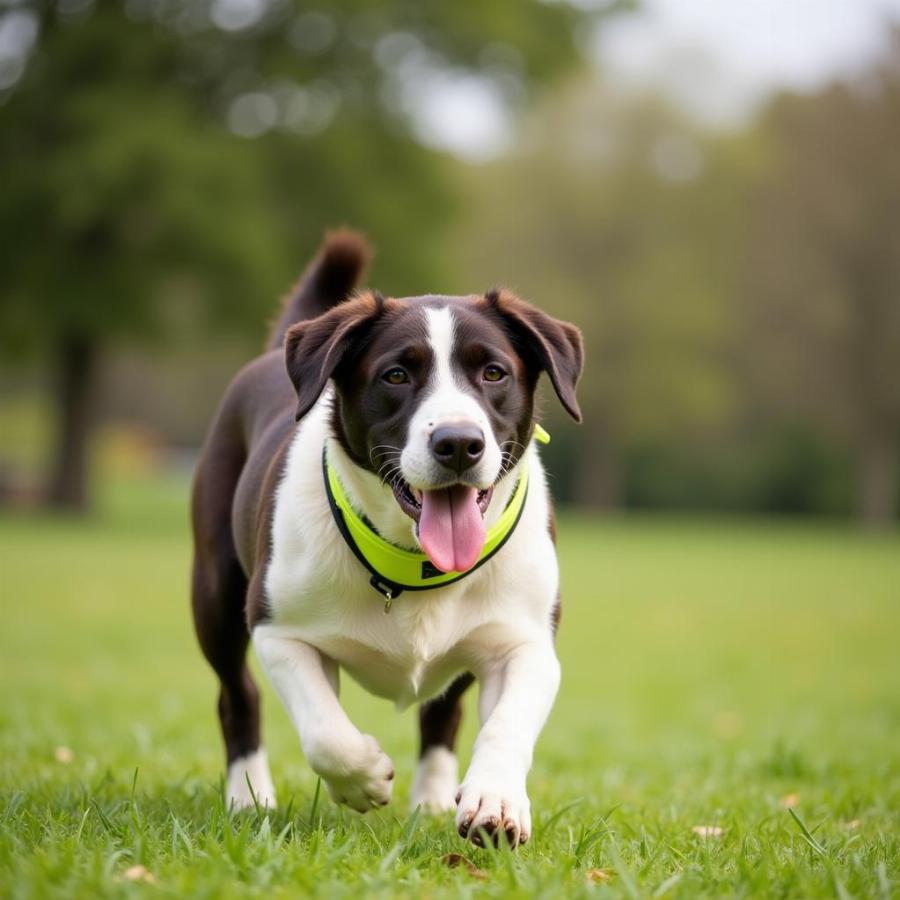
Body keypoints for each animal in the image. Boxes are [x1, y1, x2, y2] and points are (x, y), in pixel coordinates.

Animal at [192, 229, 584, 848]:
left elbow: (506, 725)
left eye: (494, 373)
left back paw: (432, 801)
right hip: (214, 594)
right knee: (238, 697)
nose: (458, 443)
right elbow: (325, 732)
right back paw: (249, 798)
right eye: (396, 375)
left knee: (442, 714)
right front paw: (364, 778)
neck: (417, 564)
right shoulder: (280, 630)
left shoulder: (524, 641)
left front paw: (494, 801)